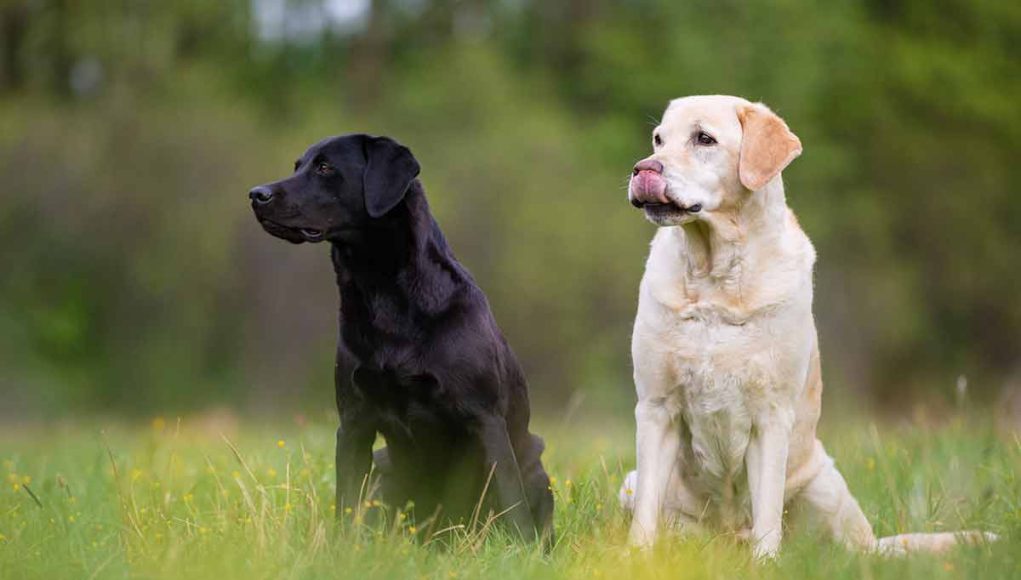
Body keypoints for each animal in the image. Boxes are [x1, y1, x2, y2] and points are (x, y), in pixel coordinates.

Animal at [247, 133, 555, 543]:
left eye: (325, 167)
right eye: (297, 166)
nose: (256, 194)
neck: (384, 297)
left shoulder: (485, 419)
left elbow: (512, 502)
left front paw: (521, 550)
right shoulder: (354, 422)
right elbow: (347, 501)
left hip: (535, 464)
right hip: (384, 467)